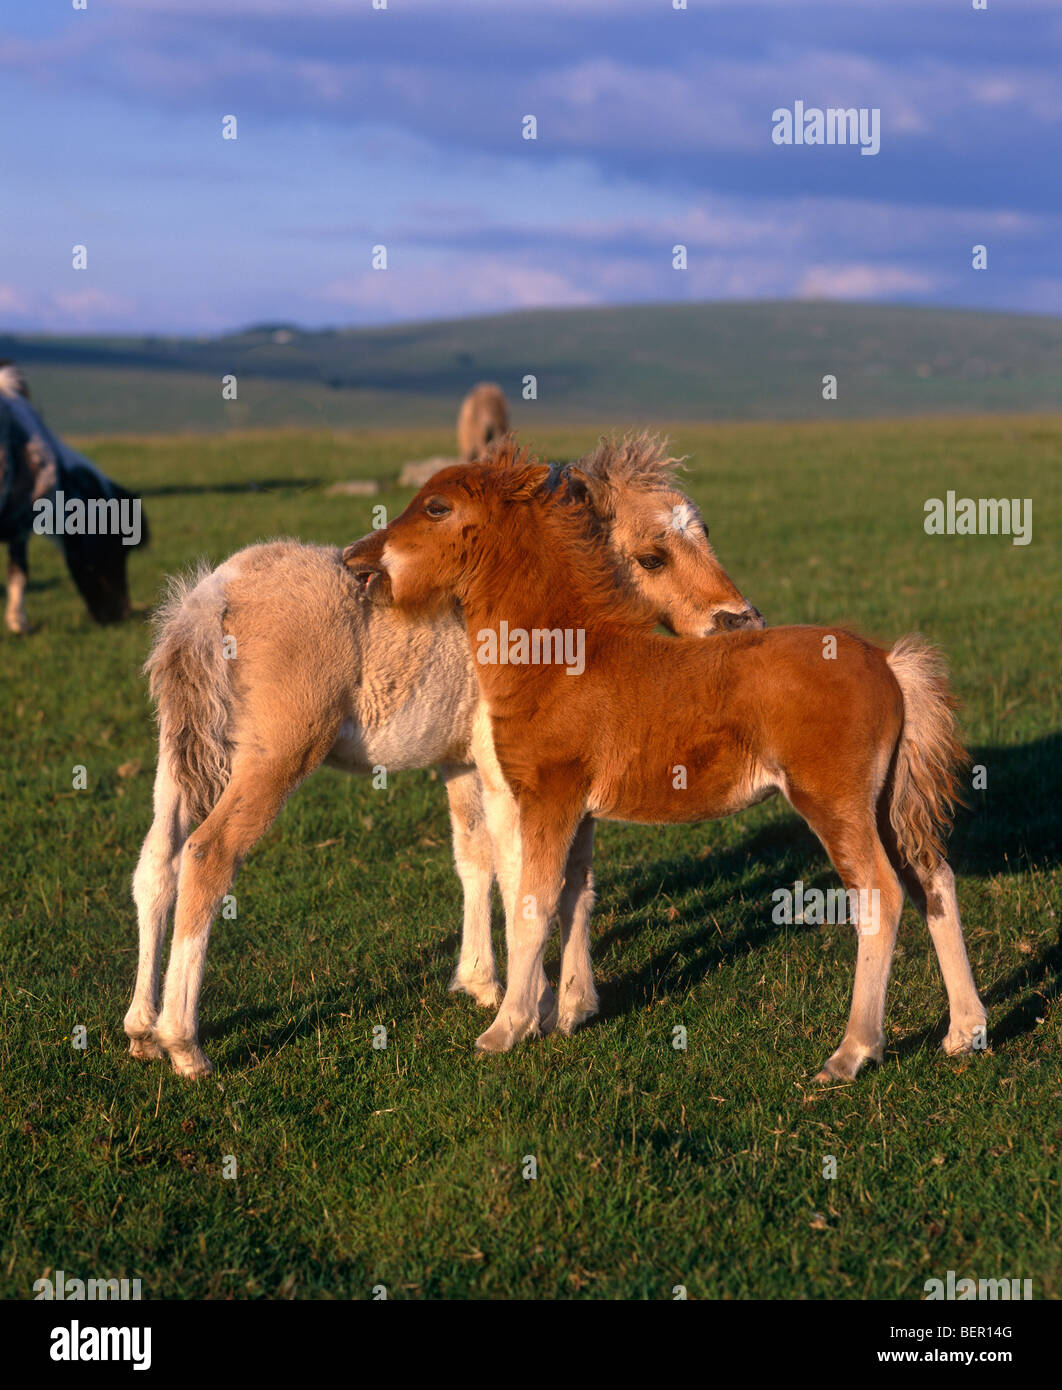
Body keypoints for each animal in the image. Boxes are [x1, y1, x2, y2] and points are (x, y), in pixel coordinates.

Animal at [125, 434, 762, 1078]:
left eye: (706, 533)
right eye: (652, 558)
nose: (740, 620)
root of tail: (210, 598)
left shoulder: (473, 764)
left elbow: (499, 864)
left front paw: (505, 988)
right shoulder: (511, 774)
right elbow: (524, 874)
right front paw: (537, 1007)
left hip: (178, 755)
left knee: (157, 862)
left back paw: (141, 1030)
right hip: (275, 756)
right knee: (207, 854)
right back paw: (184, 1043)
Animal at [341, 444, 988, 1080]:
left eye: (436, 508)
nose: (354, 558)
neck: (559, 659)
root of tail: (887, 663)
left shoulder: (548, 797)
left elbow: (531, 904)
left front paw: (507, 1028)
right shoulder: (579, 810)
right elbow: (575, 897)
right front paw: (569, 1014)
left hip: (834, 802)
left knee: (882, 894)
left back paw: (853, 1051)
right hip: (886, 803)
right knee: (933, 879)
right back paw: (964, 1030)